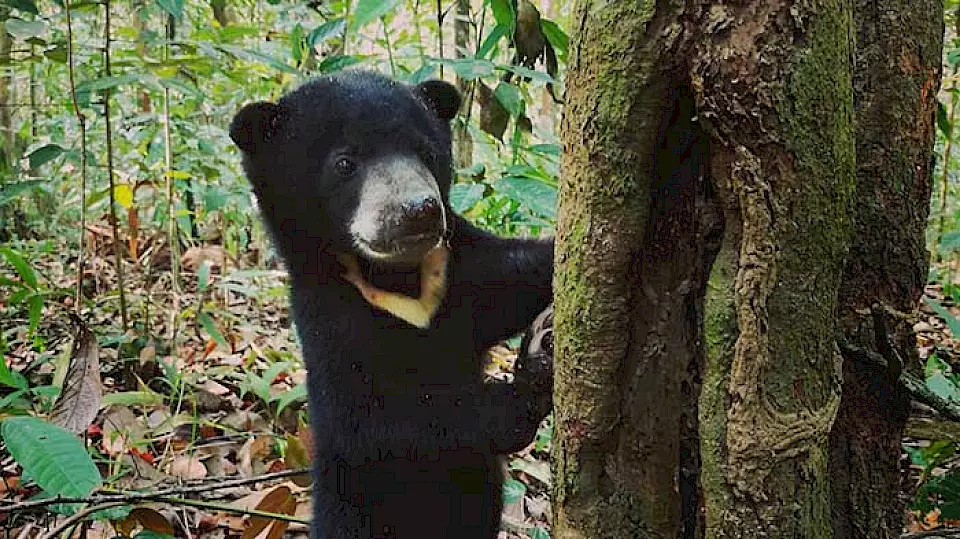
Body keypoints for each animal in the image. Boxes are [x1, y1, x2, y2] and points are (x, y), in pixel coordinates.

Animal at [227, 69, 556, 536]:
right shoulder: (330, 315)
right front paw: (514, 404)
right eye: (345, 163)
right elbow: (372, 418)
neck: (393, 277)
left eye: (427, 153)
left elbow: (511, 277)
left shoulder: (455, 273)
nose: (419, 210)